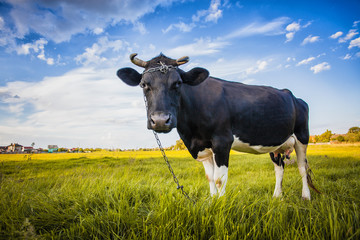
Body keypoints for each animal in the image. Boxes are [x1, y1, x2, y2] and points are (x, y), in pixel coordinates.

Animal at [116, 53, 320, 200]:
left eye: (178, 83)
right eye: (144, 84)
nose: (159, 120)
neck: (191, 132)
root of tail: (293, 96)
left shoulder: (222, 141)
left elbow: (219, 178)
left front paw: (221, 206)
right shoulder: (202, 147)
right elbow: (210, 177)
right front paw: (212, 202)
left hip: (302, 137)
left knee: (302, 167)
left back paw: (306, 196)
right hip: (275, 143)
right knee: (279, 168)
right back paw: (277, 197)